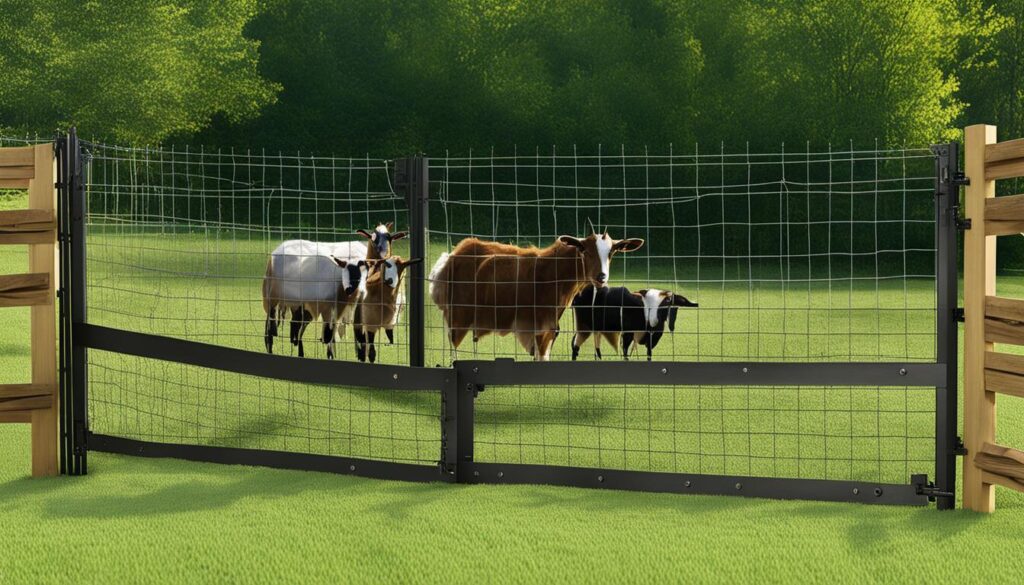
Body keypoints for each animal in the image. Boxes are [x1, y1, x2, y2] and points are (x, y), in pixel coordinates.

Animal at [429, 232, 644, 361]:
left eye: (612, 252)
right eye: (584, 250)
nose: (601, 277)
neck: (554, 272)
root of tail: (454, 255)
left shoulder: (550, 325)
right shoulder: (540, 324)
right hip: (459, 316)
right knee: (453, 348)